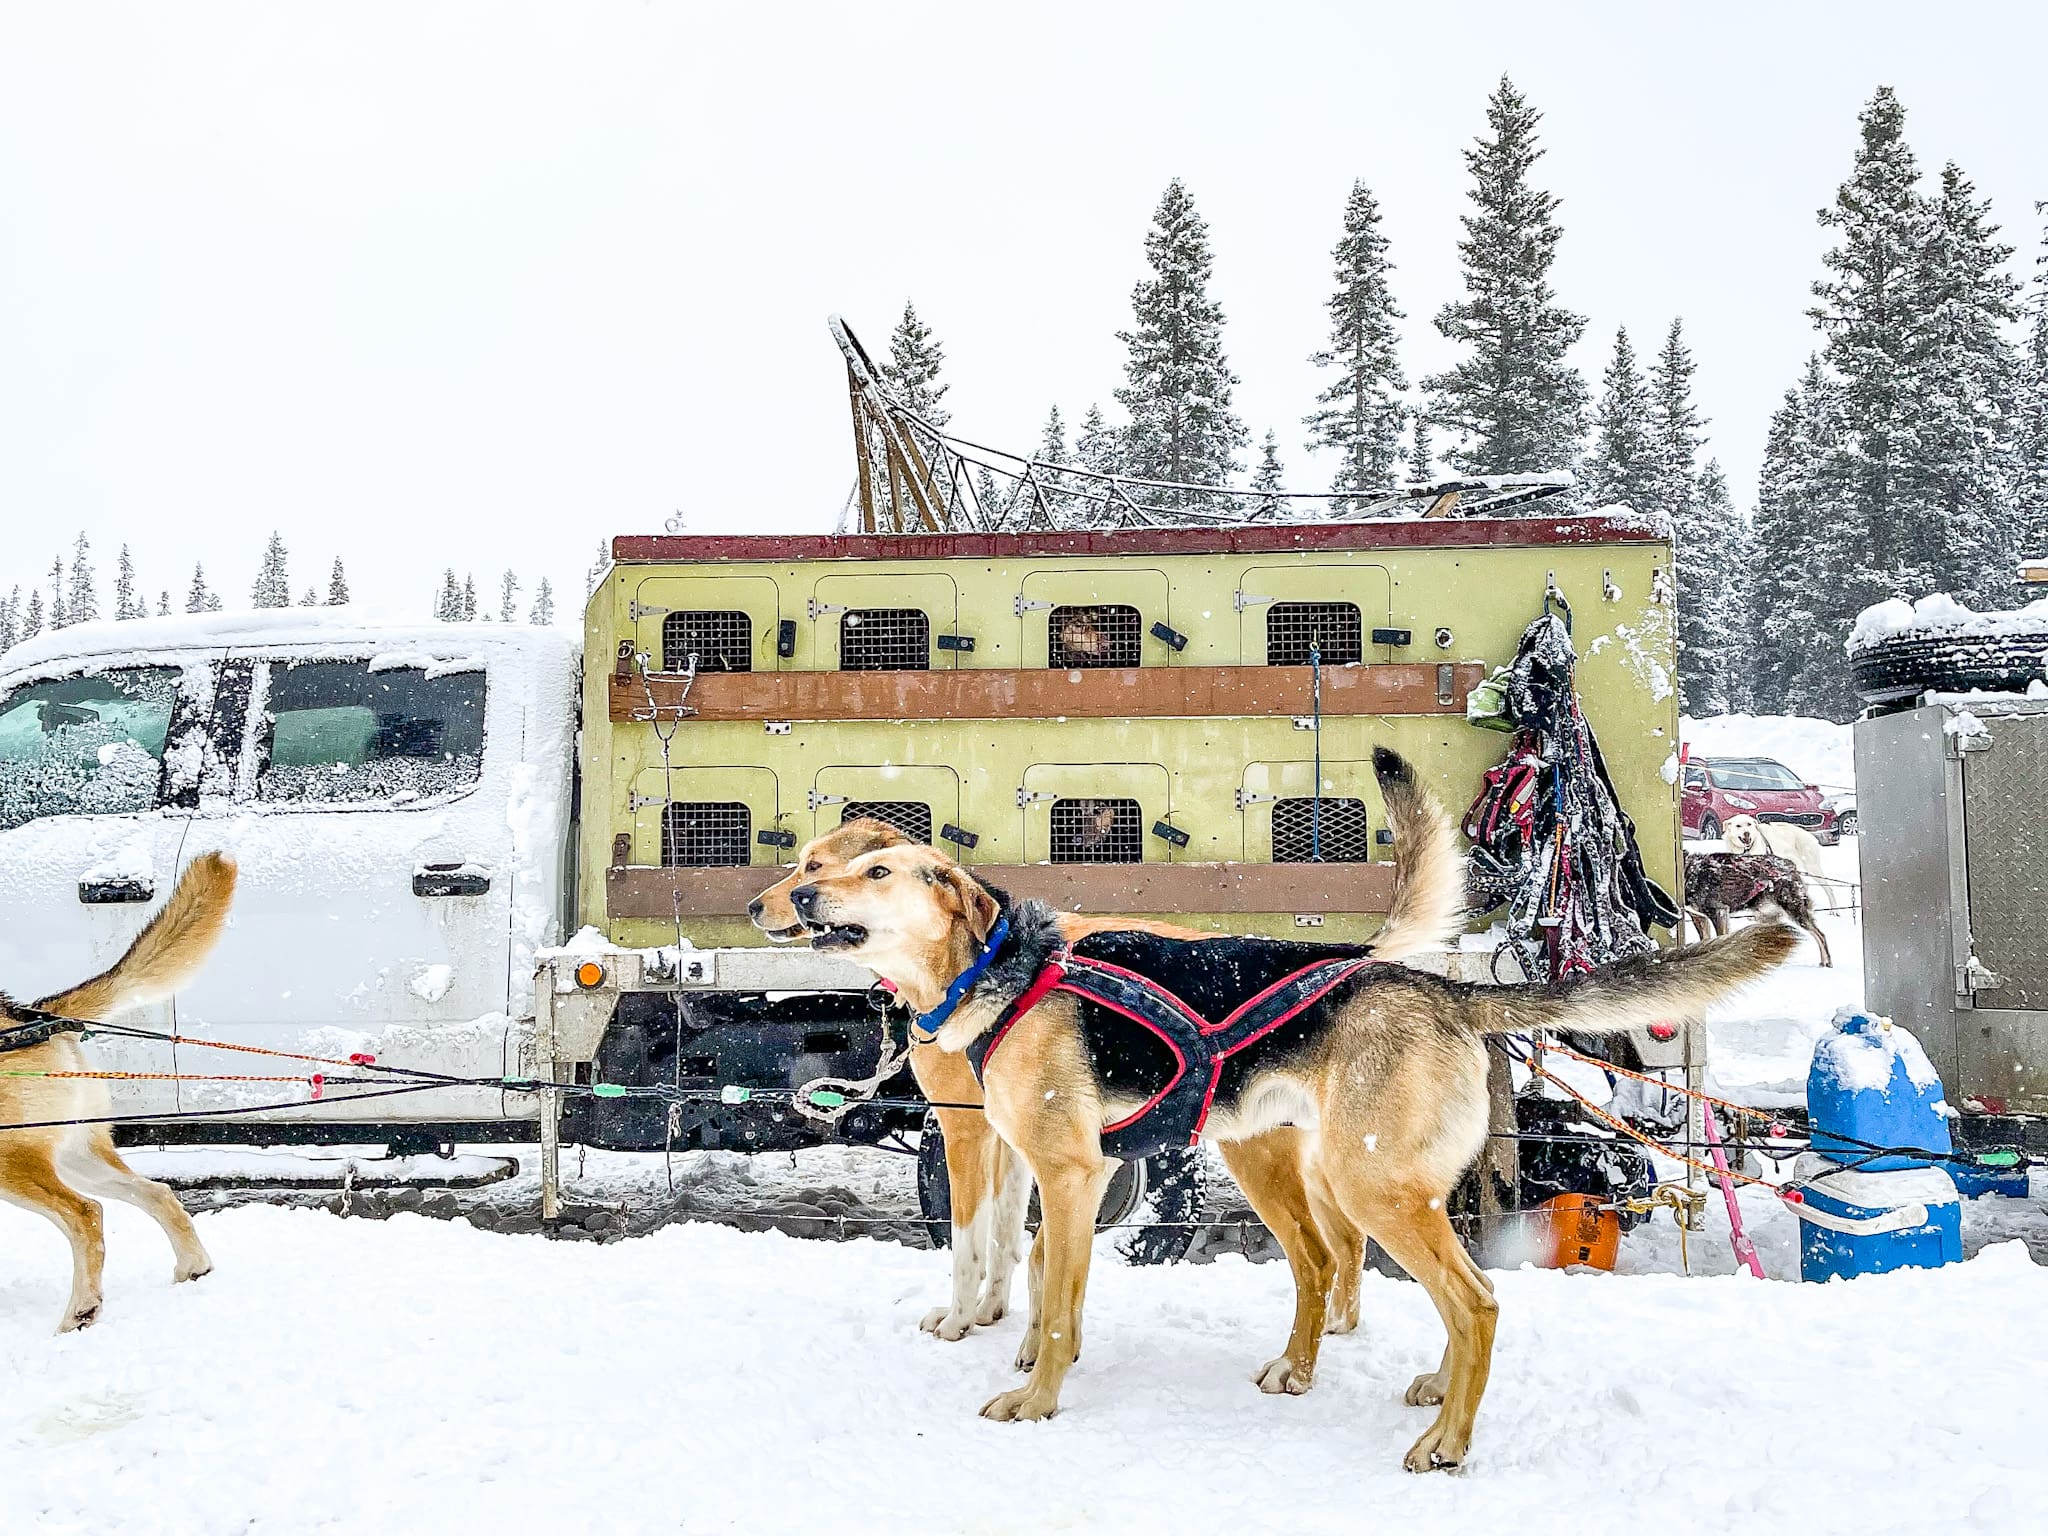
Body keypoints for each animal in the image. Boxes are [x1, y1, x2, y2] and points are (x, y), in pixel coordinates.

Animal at [2, 856, 235, 1335]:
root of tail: (32, 1016)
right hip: (75, 1155)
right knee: (156, 1193)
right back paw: (193, 1267)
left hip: (14, 1161)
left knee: (85, 1213)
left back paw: (80, 1313)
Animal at [782, 757, 1794, 1482]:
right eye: (820, 866)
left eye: (876, 868)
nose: (792, 896)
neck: (1004, 977)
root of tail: (1442, 990)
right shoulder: (1043, 1164)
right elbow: (1030, 1270)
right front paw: (1019, 1346)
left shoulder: (1069, 1173)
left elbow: (1059, 1303)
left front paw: (1036, 1399)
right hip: (1296, 1168)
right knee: (1339, 1270)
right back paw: (1387, 1383)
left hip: (1369, 1182)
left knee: (1473, 1299)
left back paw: (1447, 1444)